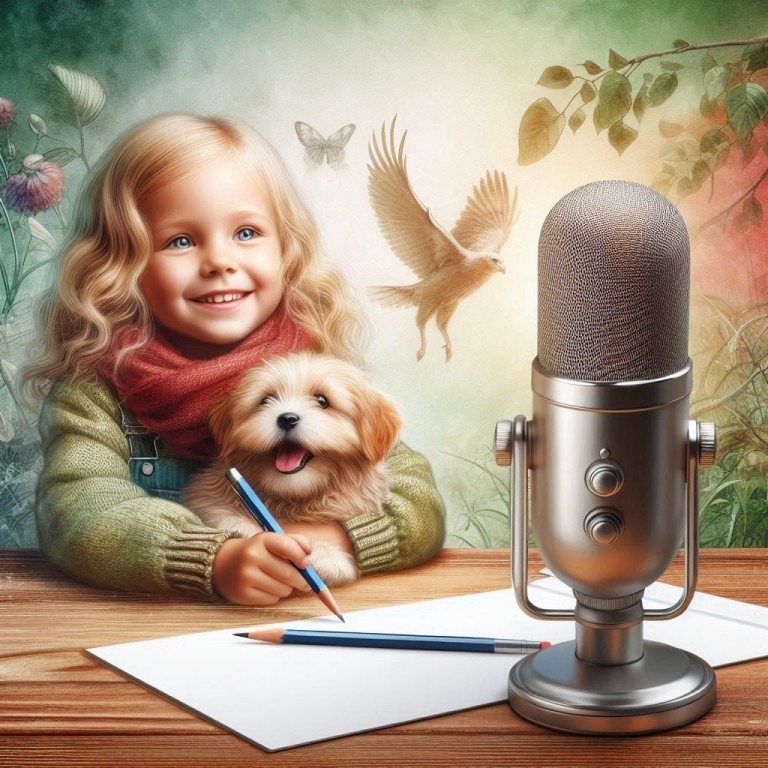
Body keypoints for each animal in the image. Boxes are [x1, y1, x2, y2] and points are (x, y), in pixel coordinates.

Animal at [184, 352, 404, 584]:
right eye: (265, 400)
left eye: (322, 401)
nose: (287, 419)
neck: (294, 497)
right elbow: (214, 508)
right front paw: (244, 526)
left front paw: (326, 557)